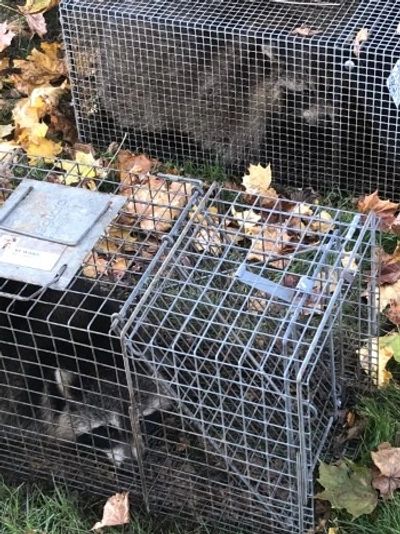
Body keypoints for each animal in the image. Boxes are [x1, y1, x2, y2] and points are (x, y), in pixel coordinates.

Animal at [60, 0, 400, 199]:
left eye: (332, 88)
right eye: (304, 90)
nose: (331, 114)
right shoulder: (228, 111)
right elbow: (243, 152)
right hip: (132, 87)